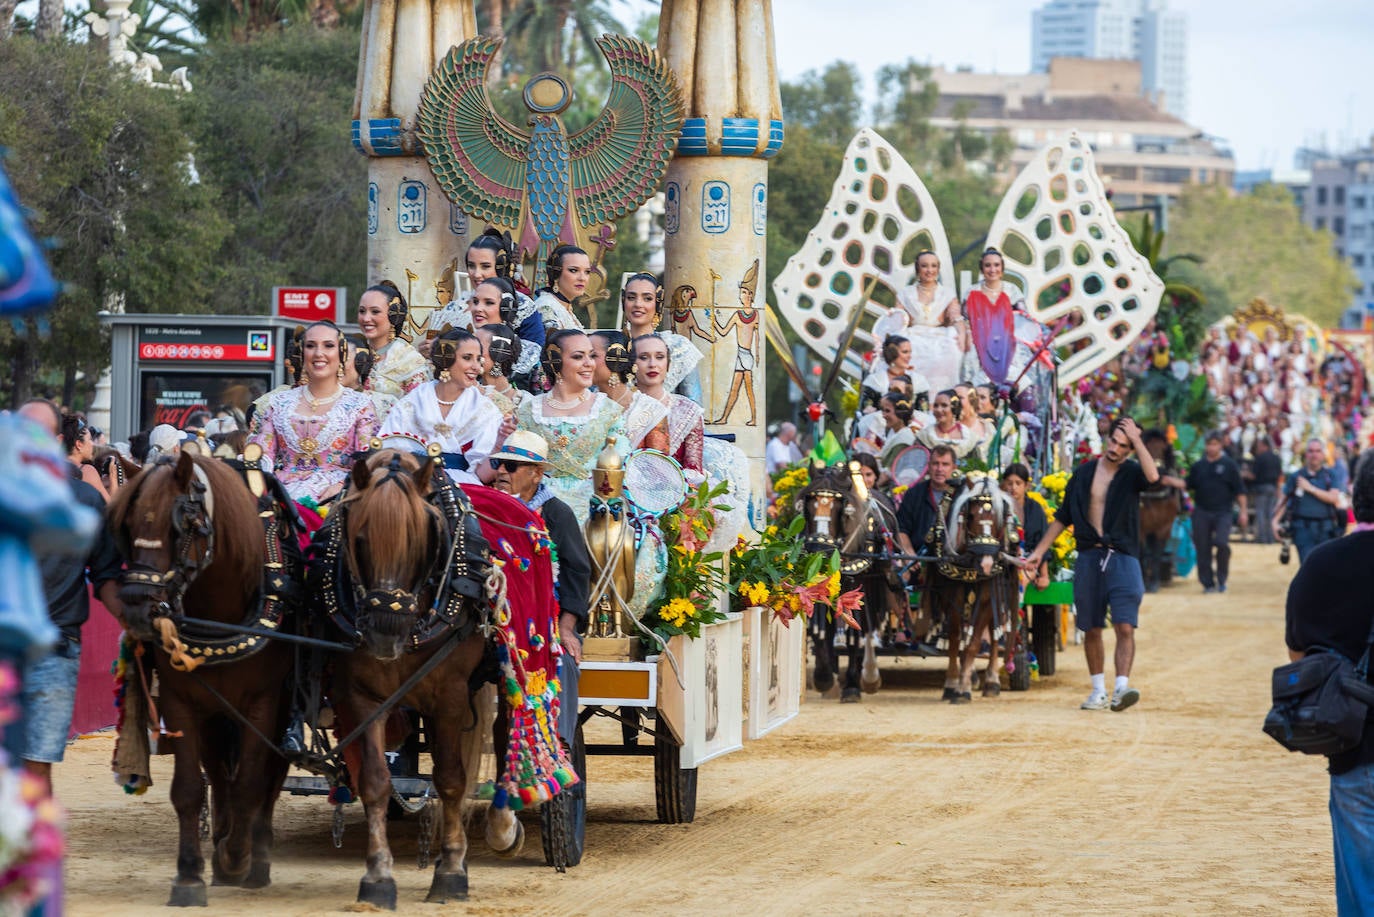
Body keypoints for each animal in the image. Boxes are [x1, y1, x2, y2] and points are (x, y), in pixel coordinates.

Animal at [107, 450, 298, 901]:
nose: (136, 605)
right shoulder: (183, 701)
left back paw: (255, 854)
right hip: (214, 711)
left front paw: (238, 857)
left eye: (182, 525)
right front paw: (191, 874)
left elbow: (251, 783)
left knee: (269, 777)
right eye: (128, 524)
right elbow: (190, 788)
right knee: (218, 770)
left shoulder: (264, 703)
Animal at [322, 448, 524, 907]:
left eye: (419, 540)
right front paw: (378, 874)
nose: (385, 631)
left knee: (507, 730)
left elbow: (450, 780)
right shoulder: (362, 696)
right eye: (359, 539)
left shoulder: (448, 696)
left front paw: (450, 869)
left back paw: (502, 825)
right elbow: (375, 781)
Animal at [928, 472, 1016, 703]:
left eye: (998, 519)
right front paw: (952, 684)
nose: (986, 563)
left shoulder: (986, 598)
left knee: (994, 634)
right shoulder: (952, 599)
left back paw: (992, 682)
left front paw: (964, 688)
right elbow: (955, 639)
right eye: (971, 516)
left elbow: (975, 642)